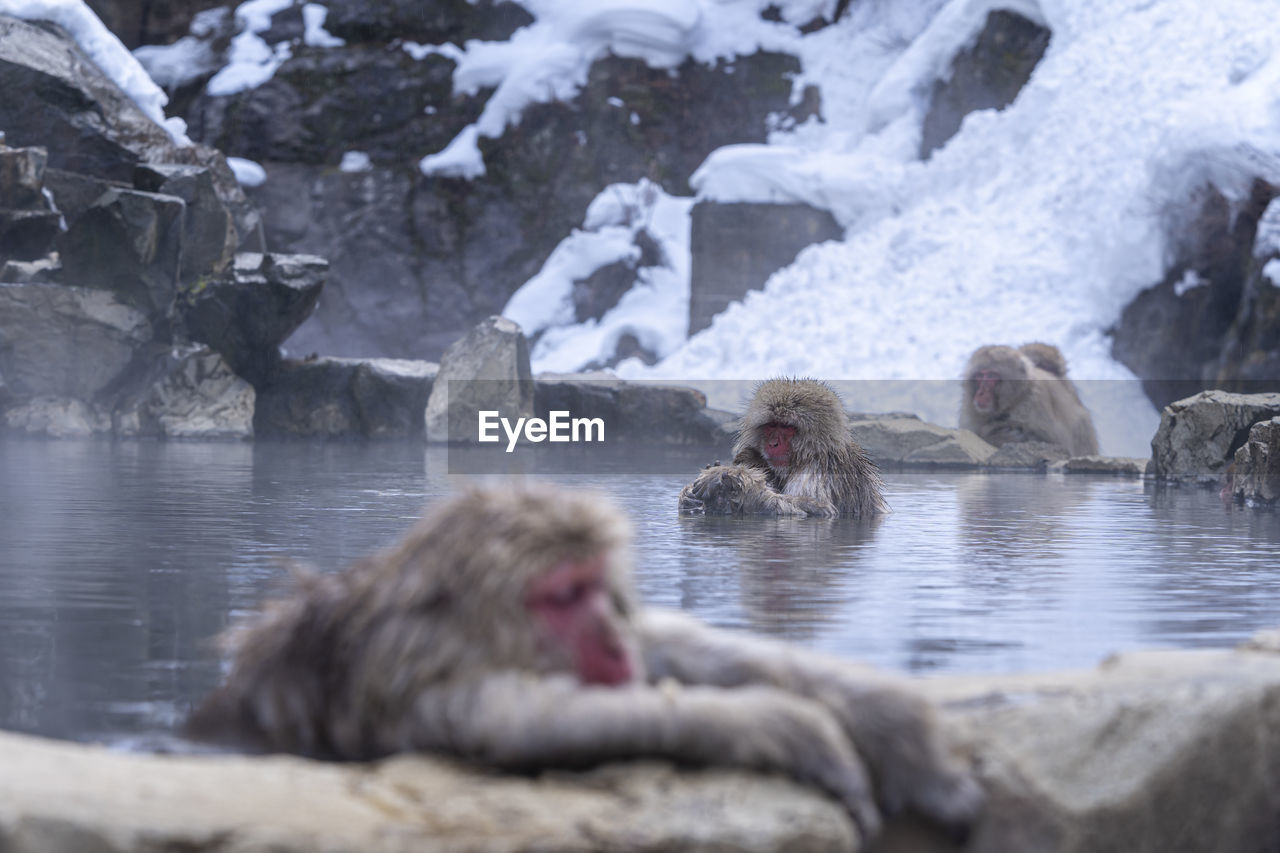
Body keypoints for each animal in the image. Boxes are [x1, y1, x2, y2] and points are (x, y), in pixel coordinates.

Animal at [186, 481, 977, 840]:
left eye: (597, 585)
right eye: (563, 596)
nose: (608, 633)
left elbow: (669, 644)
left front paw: (896, 724)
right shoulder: (431, 690)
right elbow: (531, 729)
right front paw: (795, 729)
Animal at [670, 379, 890, 517]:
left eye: (786, 427)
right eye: (771, 425)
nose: (773, 443)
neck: (811, 454)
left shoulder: (821, 472)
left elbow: (823, 509)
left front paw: (726, 477)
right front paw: (688, 497)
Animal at [962, 340, 1100, 455]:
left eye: (991, 376)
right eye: (980, 376)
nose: (980, 393)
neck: (1015, 400)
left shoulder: (1035, 404)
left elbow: (1057, 444)